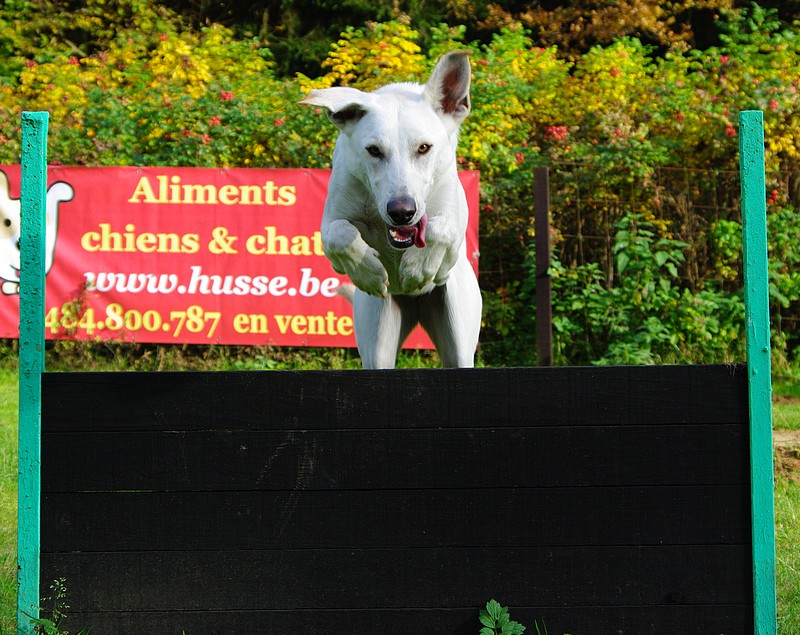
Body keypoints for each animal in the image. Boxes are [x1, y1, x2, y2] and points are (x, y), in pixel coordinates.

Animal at [298, 51, 478, 368]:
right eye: (373, 150)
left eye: (424, 148)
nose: (402, 211)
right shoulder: (331, 222)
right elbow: (340, 234)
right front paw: (368, 271)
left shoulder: (453, 228)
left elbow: (441, 229)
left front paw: (417, 269)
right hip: (377, 343)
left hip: (459, 340)